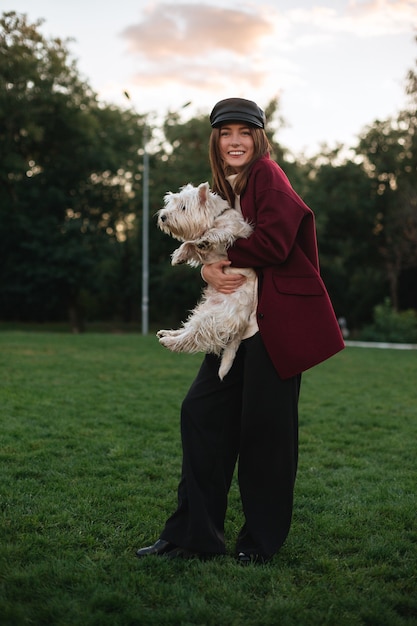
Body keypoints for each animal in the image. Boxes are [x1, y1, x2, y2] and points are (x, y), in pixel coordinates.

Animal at [155, 179, 255, 376]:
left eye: (183, 207)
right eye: (171, 204)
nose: (163, 217)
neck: (215, 217)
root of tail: (242, 324)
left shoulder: (237, 230)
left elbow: (217, 232)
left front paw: (206, 239)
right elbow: (189, 243)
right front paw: (179, 256)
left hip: (214, 318)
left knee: (194, 337)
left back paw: (169, 341)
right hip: (204, 311)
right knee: (189, 328)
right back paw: (167, 334)